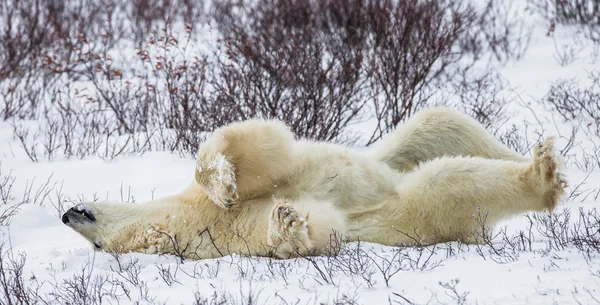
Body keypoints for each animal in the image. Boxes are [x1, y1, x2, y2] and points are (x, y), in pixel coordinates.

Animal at [61, 107, 568, 258]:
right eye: (98, 248)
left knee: (441, 124)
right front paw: (288, 221)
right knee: (450, 184)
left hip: (397, 153)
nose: (66, 213)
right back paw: (543, 177)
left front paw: (223, 184)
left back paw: (544, 159)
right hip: (418, 215)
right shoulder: (228, 237)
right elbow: (317, 227)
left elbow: (259, 148)